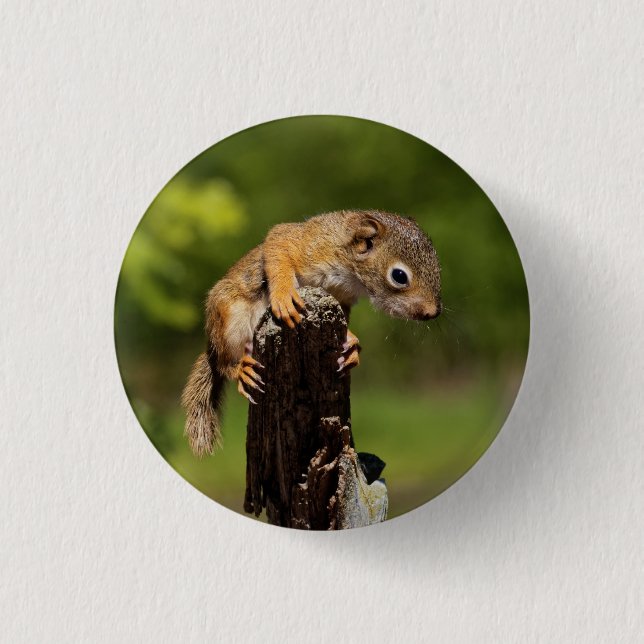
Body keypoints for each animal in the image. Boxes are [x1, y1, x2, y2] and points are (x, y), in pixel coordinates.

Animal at [181, 209, 442, 456]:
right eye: (399, 276)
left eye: (437, 266)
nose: (433, 312)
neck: (351, 271)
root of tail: (211, 346)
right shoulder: (308, 243)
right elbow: (278, 245)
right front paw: (284, 295)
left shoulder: (342, 297)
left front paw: (351, 344)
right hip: (229, 319)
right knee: (224, 362)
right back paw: (240, 368)